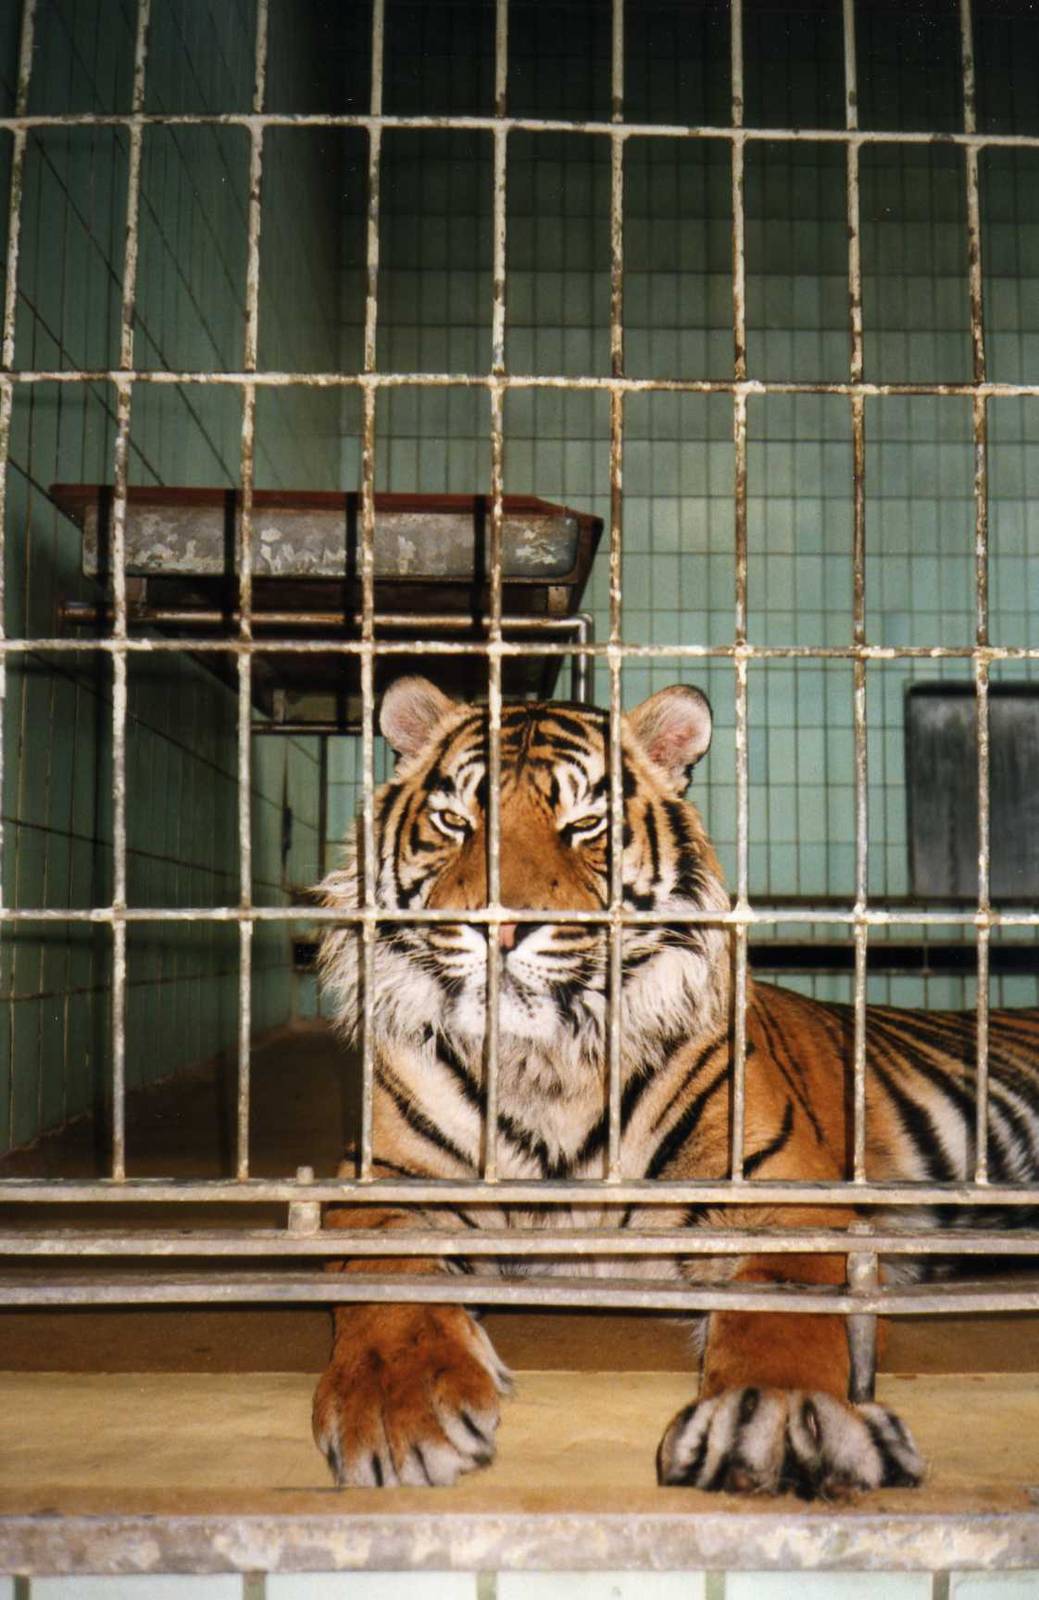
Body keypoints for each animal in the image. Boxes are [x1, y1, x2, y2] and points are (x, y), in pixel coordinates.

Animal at [313, 674, 1039, 1497]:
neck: (546, 1062)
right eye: (453, 820)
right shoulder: (382, 1179)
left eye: (585, 824)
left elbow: (780, 1314)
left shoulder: (787, 1199)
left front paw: (780, 1417)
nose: (499, 928)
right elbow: (387, 1284)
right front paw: (395, 1408)